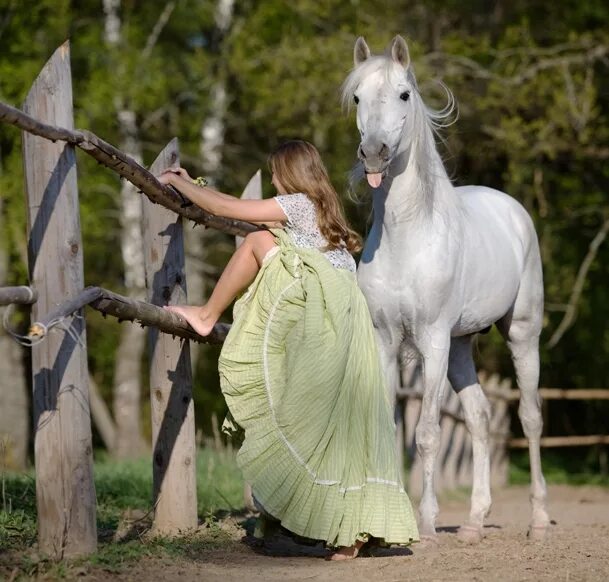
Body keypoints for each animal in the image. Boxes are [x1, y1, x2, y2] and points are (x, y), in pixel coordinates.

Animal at [342, 36, 552, 544]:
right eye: (357, 98)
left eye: (404, 94)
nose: (373, 153)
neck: (408, 237)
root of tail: (512, 209)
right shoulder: (386, 342)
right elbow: (390, 427)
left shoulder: (432, 342)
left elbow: (427, 434)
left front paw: (426, 522)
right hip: (460, 347)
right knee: (479, 416)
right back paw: (475, 522)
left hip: (520, 334)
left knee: (530, 416)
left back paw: (538, 520)